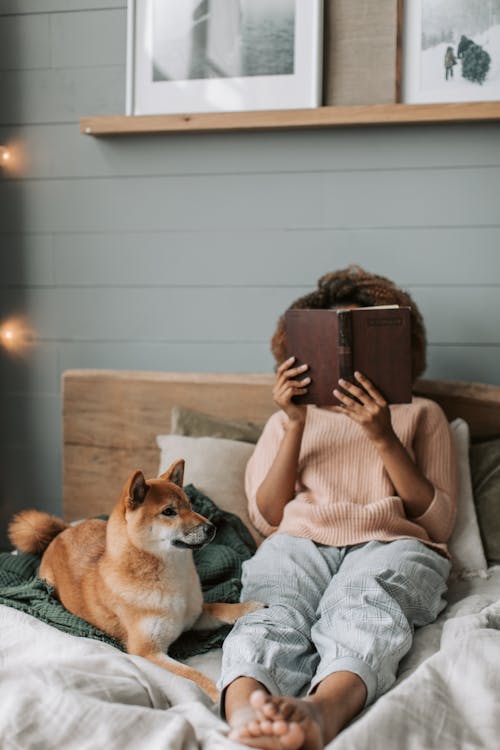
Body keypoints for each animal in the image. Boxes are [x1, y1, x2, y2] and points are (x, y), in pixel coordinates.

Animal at [8, 458, 262, 704]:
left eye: (190, 505)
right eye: (169, 511)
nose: (211, 528)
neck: (174, 578)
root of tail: (61, 533)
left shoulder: (194, 615)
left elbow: (221, 608)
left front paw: (251, 607)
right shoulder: (147, 652)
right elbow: (193, 674)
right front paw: (219, 692)